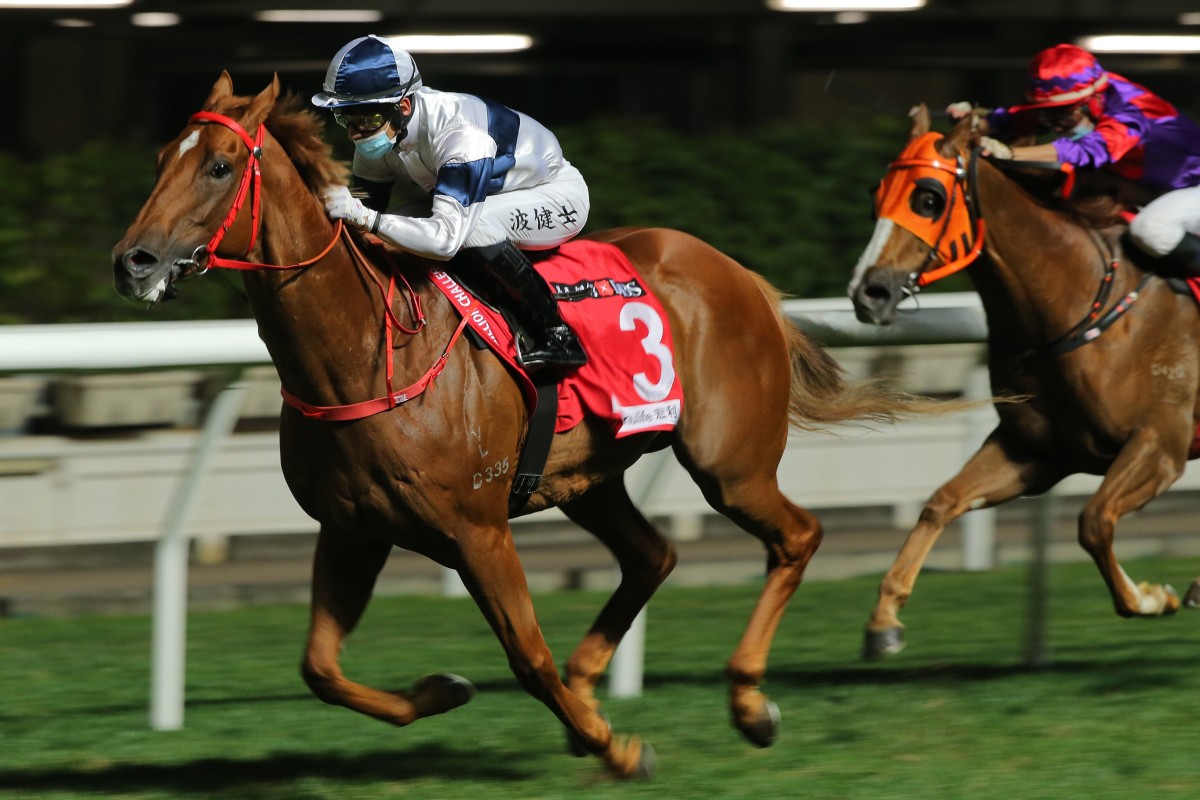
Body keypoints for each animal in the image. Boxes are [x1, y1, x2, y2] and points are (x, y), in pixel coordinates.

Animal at [112, 73, 940, 777]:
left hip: (728, 463)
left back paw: (747, 701)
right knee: (653, 556)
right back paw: (596, 679)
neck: (364, 354)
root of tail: (741, 277)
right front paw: (447, 690)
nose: (134, 261)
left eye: (220, 167)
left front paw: (615, 747)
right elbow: (319, 668)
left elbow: (527, 656)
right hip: (589, 478)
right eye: (159, 160)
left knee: (795, 536)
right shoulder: (353, 528)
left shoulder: (477, 529)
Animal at [844, 103, 1200, 662]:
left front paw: (1150, 597)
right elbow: (941, 502)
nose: (868, 292)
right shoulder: (1034, 452)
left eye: (929, 198)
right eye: (876, 193)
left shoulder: (1160, 444)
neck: (1076, 304)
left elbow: (1093, 521)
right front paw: (884, 620)